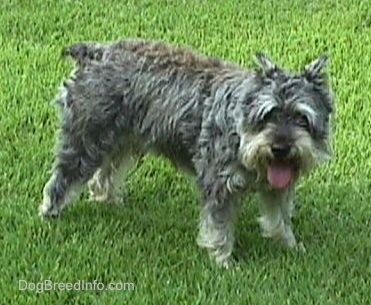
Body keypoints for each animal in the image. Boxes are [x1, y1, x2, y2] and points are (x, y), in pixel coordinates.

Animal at [39, 37, 336, 266]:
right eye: (268, 115)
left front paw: (290, 246)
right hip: (84, 141)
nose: (281, 147)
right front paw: (223, 260)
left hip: (121, 144)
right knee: (62, 179)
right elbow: (218, 225)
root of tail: (93, 53)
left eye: (301, 118)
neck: (240, 132)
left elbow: (279, 219)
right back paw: (50, 212)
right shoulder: (218, 186)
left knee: (103, 177)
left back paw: (111, 201)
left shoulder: (278, 187)